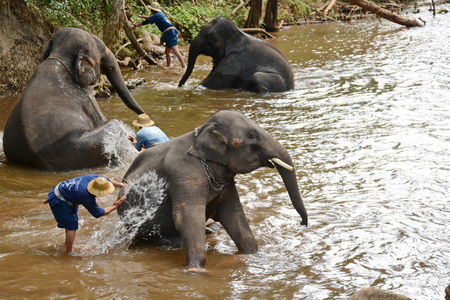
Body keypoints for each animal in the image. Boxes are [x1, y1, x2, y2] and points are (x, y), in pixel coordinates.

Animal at [118, 109, 308, 270]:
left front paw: (252, 254)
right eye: (252, 135)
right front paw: (196, 269)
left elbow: (232, 213)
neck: (202, 131)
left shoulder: (225, 181)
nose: (302, 223)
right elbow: (186, 216)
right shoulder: (184, 176)